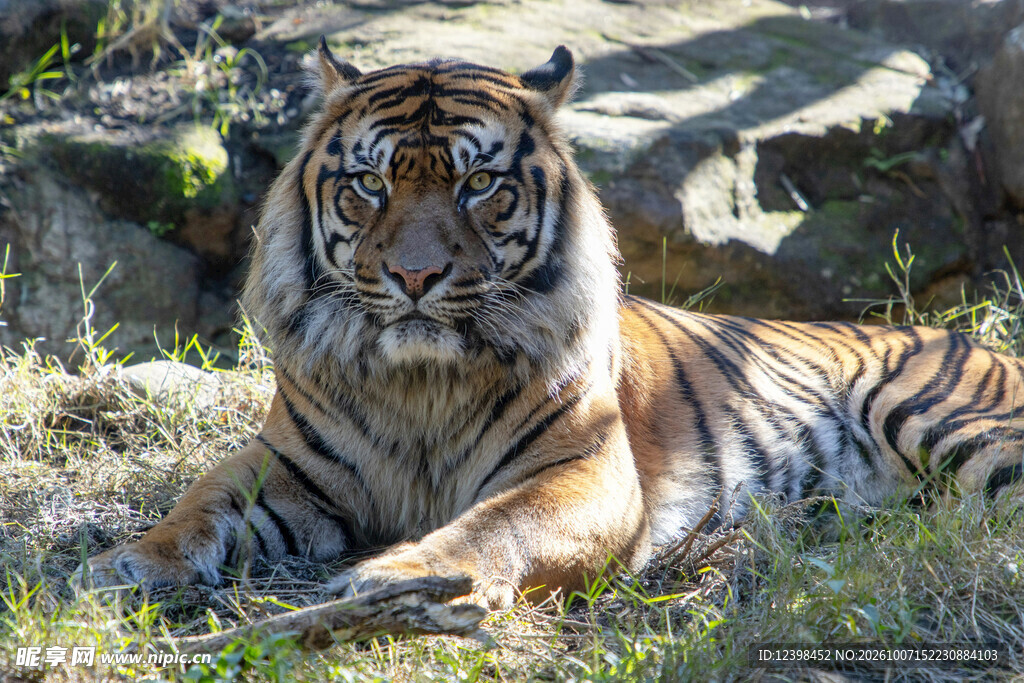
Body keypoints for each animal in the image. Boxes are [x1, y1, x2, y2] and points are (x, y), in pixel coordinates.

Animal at [78, 40, 1024, 609]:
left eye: (479, 185)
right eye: (370, 184)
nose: (414, 276)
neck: (420, 382)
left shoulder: (584, 472)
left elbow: (496, 526)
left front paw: (401, 577)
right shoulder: (287, 462)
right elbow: (199, 504)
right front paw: (126, 562)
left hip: (950, 418)